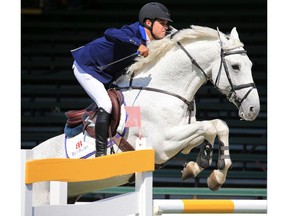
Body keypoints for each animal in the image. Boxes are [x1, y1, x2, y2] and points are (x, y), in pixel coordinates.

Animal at [30, 25, 260, 206]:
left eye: (250, 65)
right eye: (235, 66)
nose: (253, 109)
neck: (165, 89)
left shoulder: (183, 138)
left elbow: (218, 125)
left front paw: (212, 173)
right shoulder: (162, 145)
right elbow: (209, 127)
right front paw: (202, 164)